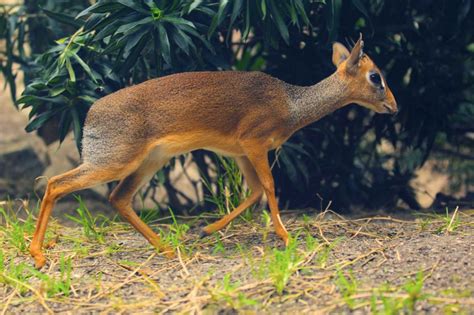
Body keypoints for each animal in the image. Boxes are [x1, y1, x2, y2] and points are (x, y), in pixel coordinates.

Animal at [29, 35, 396, 270]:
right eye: (376, 76)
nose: (393, 106)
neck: (292, 105)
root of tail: (89, 116)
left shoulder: (241, 153)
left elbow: (255, 191)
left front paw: (206, 230)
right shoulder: (255, 144)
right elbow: (270, 188)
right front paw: (285, 236)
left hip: (149, 162)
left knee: (118, 198)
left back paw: (168, 249)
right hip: (114, 162)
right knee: (56, 184)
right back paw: (38, 254)